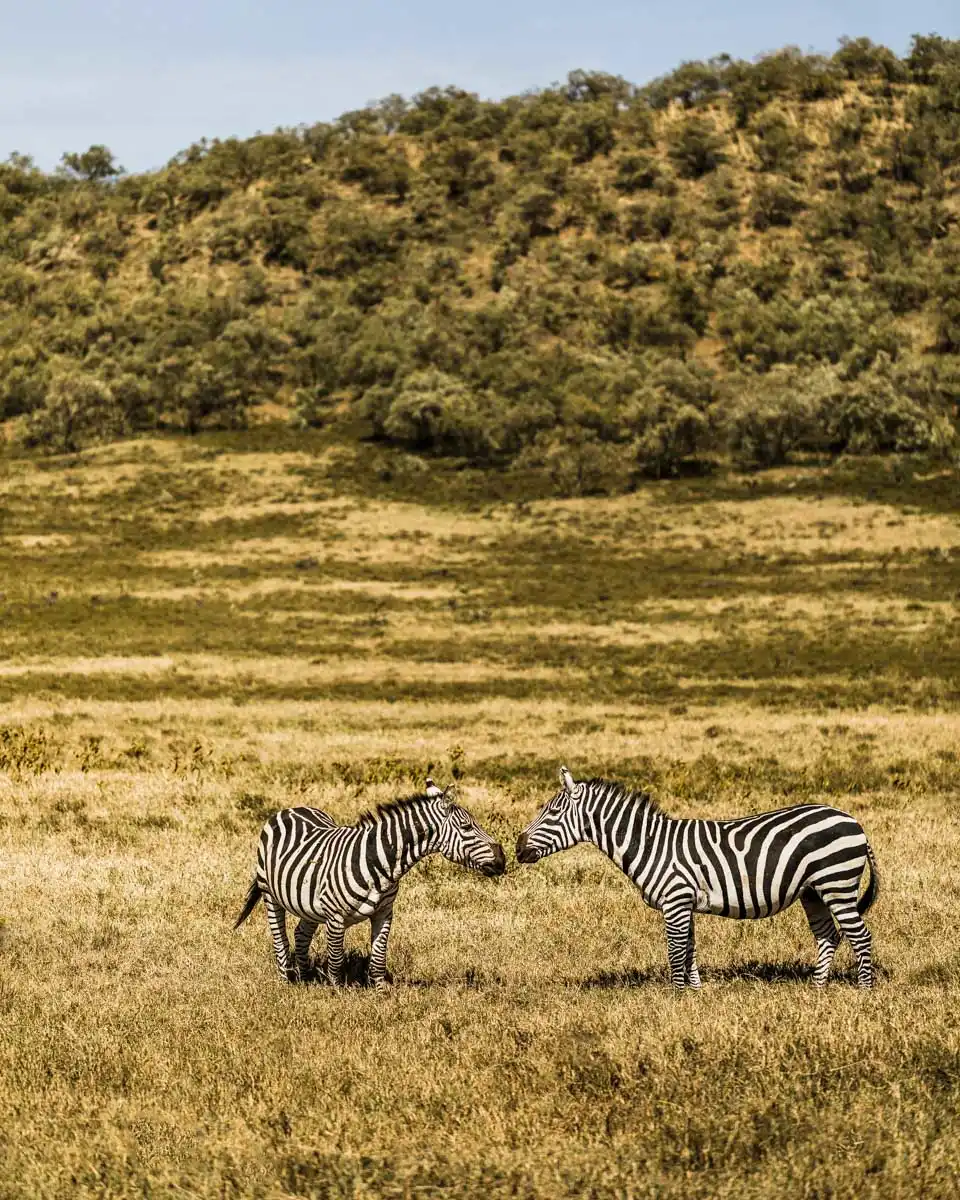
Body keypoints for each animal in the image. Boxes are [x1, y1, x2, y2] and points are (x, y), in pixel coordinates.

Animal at [234, 779, 506, 988]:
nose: (502, 858)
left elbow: (378, 956)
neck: (379, 860)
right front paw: (337, 992)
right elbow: (336, 959)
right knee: (280, 938)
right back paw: (287, 980)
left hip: (309, 902)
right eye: (467, 826)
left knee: (301, 933)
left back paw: (306, 977)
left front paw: (380, 992)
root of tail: (290, 808)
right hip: (271, 894)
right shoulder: (335, 916)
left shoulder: (384, 913)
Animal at [515, 766, 880, 990]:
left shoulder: (675, 900)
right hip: (813, 891)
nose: (517, 847)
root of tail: (853, 820)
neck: (650, 844)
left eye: (552, 812)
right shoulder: (684, 902)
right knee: (828, 936)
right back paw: (818, 988)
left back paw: (864, 989)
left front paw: (676, 997)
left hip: (837, 883)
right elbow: (689, 947)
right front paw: (695, 992)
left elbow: (676, 950)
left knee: (859, 935)